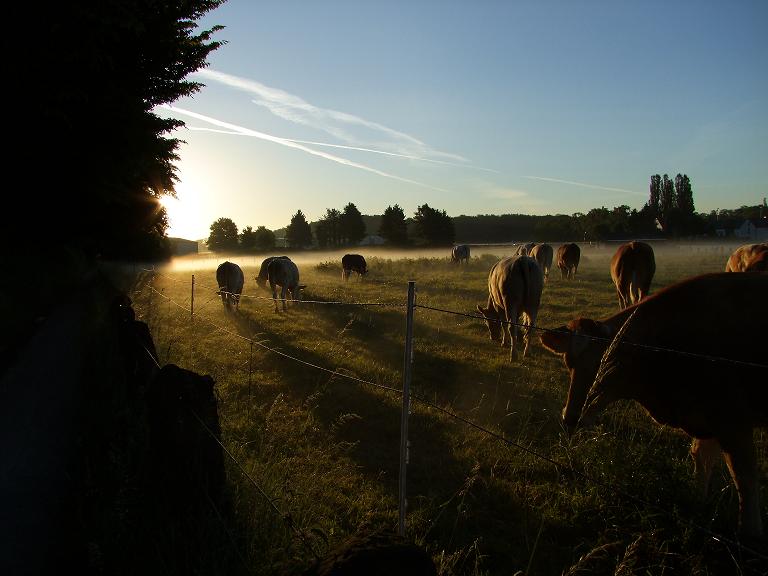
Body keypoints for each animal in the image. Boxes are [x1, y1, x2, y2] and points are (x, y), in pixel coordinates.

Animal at [540, 272, 768, 536]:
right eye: (569, 362)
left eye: (603, 362)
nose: (571, 416)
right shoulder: (707, 418)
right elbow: (702, 458)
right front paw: (698, 508)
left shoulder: (731, 418)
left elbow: (745, 478)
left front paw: (749, 533)